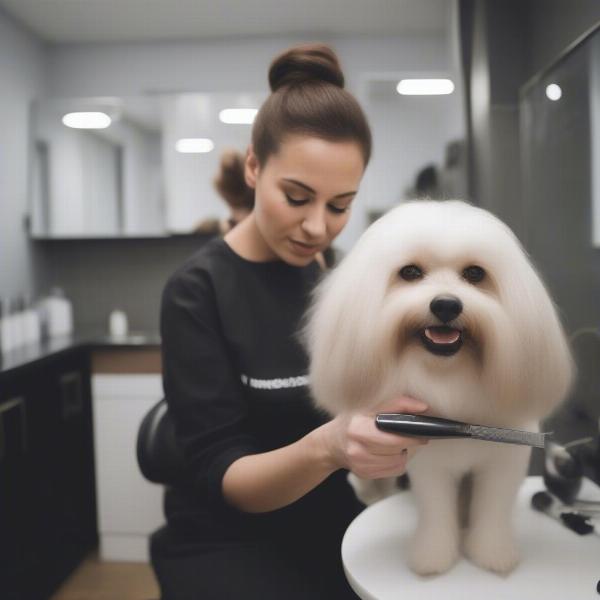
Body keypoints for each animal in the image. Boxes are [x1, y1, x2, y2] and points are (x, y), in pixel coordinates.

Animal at [308, 200, 576, 576]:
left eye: (475, 274)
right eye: (410, 272)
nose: (446, 304)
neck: (451, 376)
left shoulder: (501, 465)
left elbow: (492, 510)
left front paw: (492, 555)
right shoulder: (430, 467)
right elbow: (436, 511)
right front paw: (432, 558)